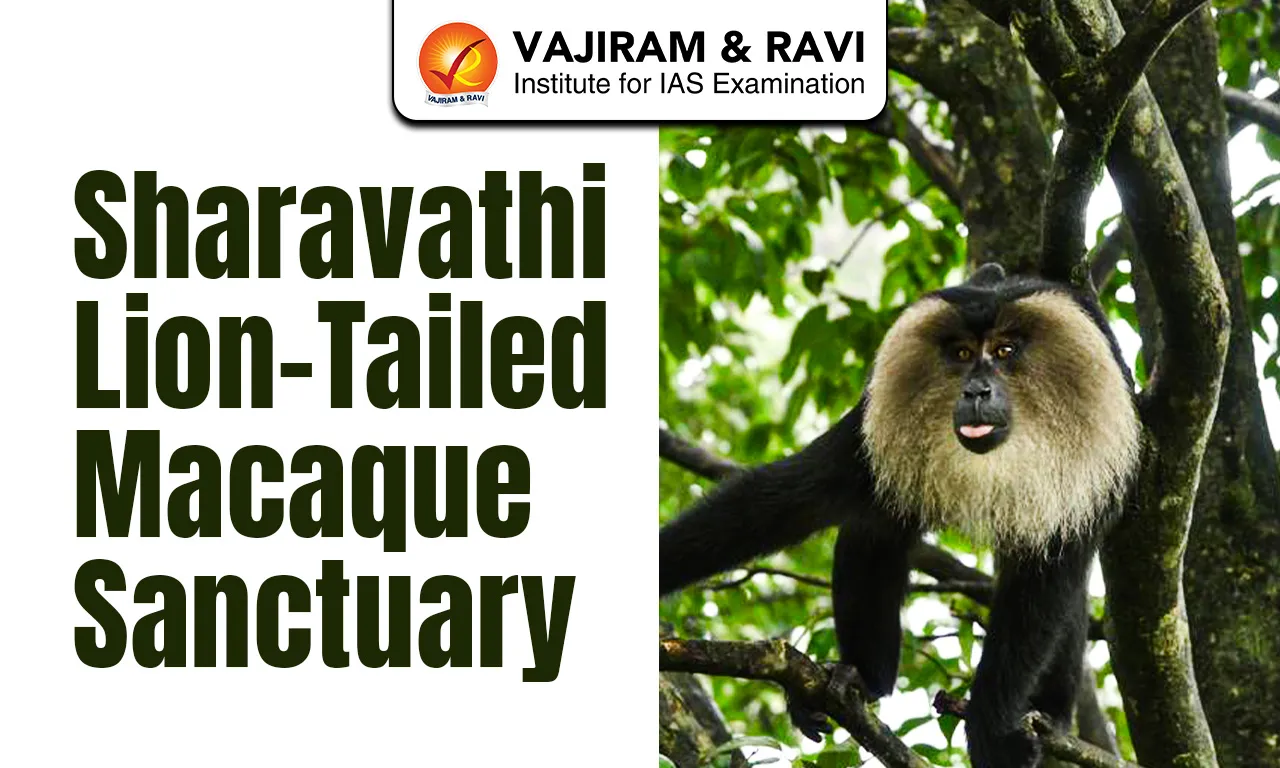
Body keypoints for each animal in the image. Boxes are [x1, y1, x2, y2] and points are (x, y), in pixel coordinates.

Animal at [659, 263, 1140, 768]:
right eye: (962, 353)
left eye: (1005, 351)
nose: (977, 390)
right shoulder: (871, 429)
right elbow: (790, 498)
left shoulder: (1084, 466)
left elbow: (1045, 584)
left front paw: (990, 728)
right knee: (874, 530)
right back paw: (860, 678)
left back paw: (1051, 716)